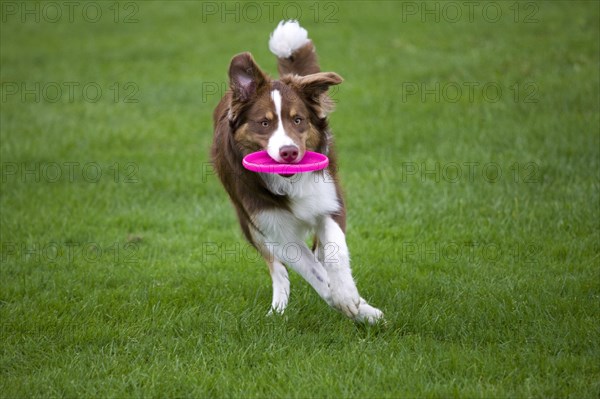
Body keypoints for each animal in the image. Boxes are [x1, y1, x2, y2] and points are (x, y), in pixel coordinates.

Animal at [211, 20, 382, 324]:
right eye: (264, 123)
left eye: (298, 120)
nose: (289, 152)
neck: (289, 185)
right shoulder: (272, 227)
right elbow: (315, 275)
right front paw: (355, 306)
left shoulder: (329, 200)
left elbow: (335, 252)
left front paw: (352, 299)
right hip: (248, 224)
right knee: (276, 267)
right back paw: (278, 306)